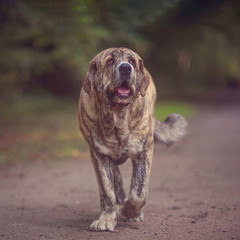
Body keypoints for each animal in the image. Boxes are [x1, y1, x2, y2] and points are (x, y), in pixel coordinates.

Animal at [78, 47, 187, 231]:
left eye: (132, 62)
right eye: (109, 61)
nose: (125, 68)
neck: (118, 119)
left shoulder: (143, 153)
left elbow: (139, 192)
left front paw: (131, 212)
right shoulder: (99, 155)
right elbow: (107, 191)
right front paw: (106, 219)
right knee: (115, 179)